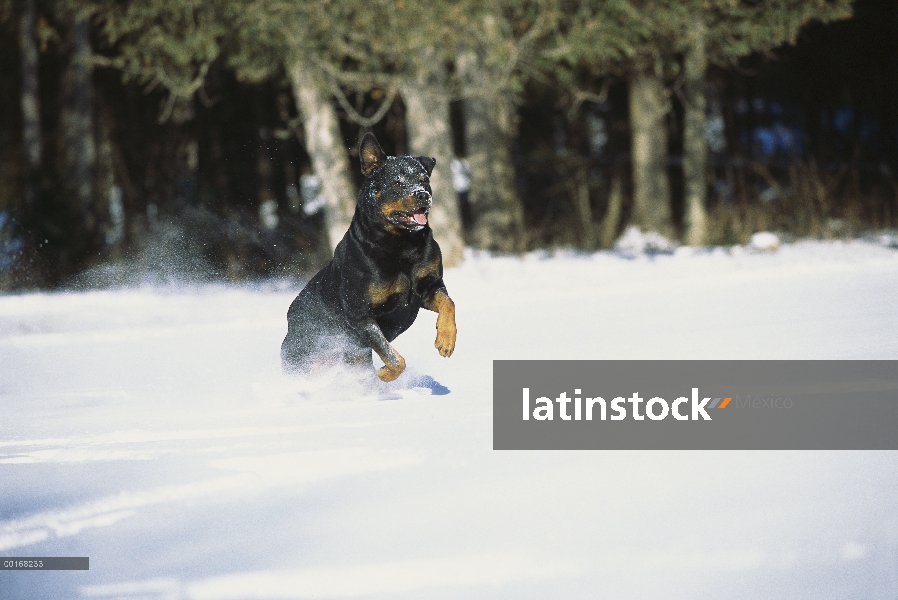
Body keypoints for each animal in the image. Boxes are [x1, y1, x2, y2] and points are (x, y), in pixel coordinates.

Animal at [282, 133, 456, 382]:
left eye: (424, 180)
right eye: (397, 182)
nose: (423, 194)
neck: (402, 246)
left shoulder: (429, 286)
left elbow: (448, 303)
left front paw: (446, 341)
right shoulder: (360, 315)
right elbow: (393, 357)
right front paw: (385, 375)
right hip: (308, 356)